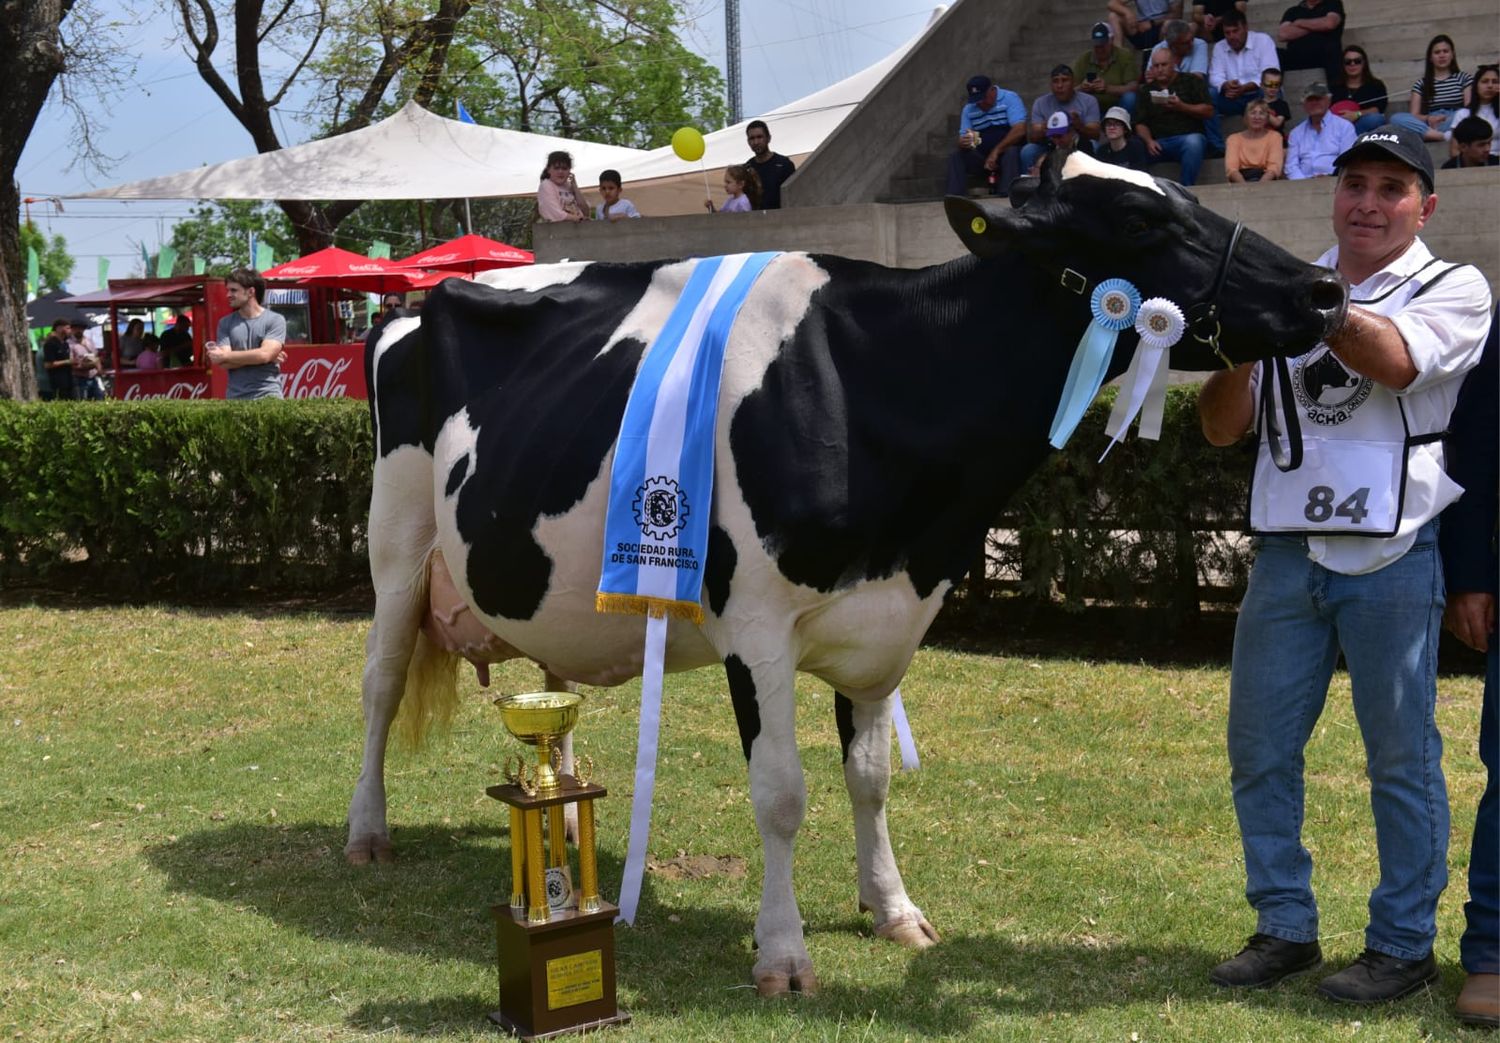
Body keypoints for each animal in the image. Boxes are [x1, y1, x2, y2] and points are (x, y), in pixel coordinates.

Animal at [348, 153, 1350, 996]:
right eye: (1141, 220)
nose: (1327, 287)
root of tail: (416, 300)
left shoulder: (893, 616)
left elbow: (869, 776)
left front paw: (893, 908)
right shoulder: (755, 624)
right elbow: (782, 791)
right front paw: (784, 954)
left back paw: (555, 825)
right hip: (394, 542)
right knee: (381, 684)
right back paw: (367, 832)